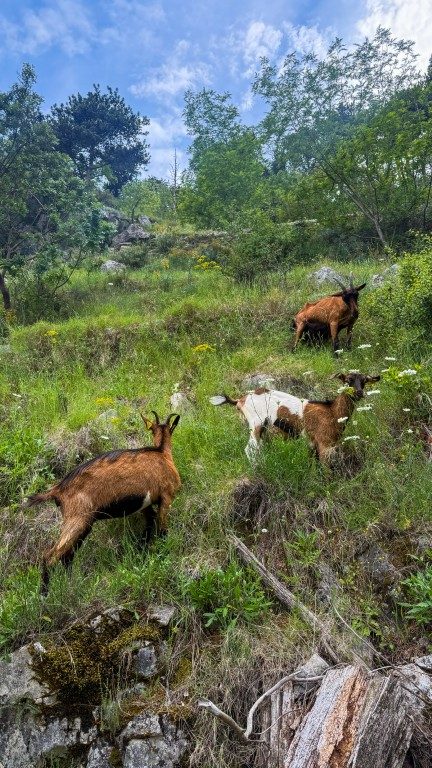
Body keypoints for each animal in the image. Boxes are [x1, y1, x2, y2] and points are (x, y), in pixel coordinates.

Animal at [26, 412, 181, 594]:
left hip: (83, 525)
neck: (162, 453)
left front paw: (141, 553)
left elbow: (148, 528)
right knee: (50, 555)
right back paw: (45, 594)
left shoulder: (146, 505)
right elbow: (162, 531)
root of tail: (58, 490)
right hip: (78, 520)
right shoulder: (166, 497)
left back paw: (70, 584)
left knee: (67, 556)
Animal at [210, 372, 380, 463]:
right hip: (256, 423)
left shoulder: (314, 445)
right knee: (250, 449)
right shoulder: (324, 444)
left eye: (364, 381)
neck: (332, 412)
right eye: (348, 380)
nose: (359, 393)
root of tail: (240, 400)